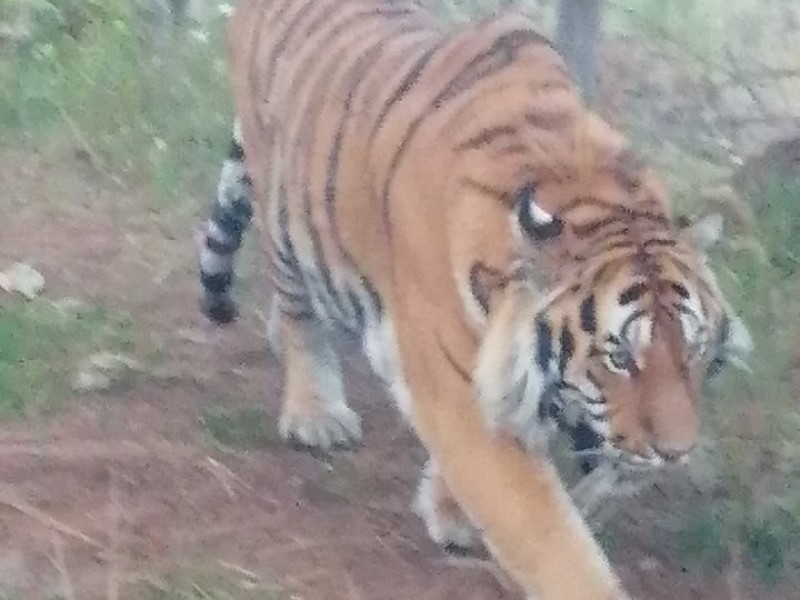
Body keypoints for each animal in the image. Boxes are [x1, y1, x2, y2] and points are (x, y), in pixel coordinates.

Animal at [197, 2, 752, 596]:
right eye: (620, 357)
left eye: (693, 350)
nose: (676, 454)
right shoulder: (456, 389)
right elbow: (550, 537)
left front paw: (450, 512)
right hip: (280, 201)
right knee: (299, 308)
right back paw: (315, 412)